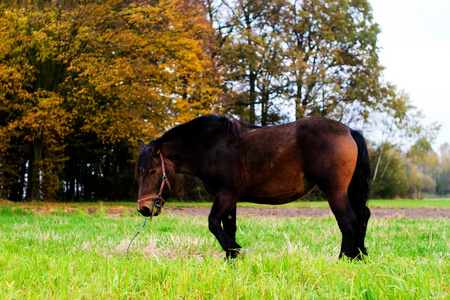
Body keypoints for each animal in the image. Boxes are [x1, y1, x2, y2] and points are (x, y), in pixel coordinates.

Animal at [135, 115, 370, 260]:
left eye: (152, 171)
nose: (143, 208)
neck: (211, 146)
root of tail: (349, 130)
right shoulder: (229, 199)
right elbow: (227, 227)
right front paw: (231, 259)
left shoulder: (227, 194)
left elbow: (213, 223)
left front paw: (235, 250)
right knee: (362, 218)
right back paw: (360, 256)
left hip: (335, 191)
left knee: (348, 222)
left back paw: (344, 259)